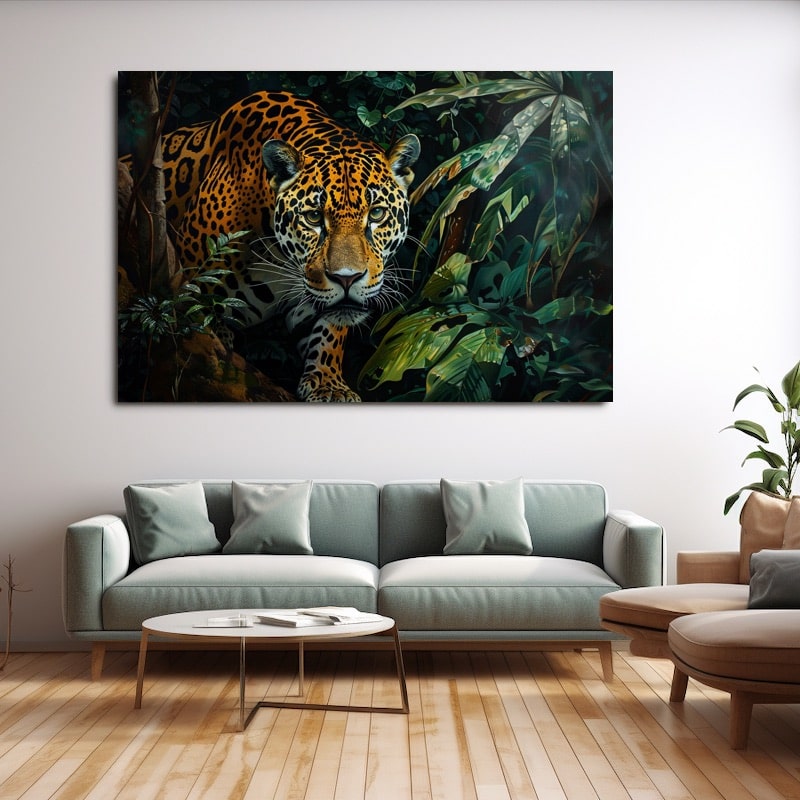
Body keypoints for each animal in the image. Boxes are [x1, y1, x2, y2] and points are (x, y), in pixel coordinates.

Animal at [140, 90, 420, 402]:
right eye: (313, 217)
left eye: (377, 214)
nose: (347, 279)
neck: (280, 259)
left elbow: (330, 329)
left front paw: (329, 384)